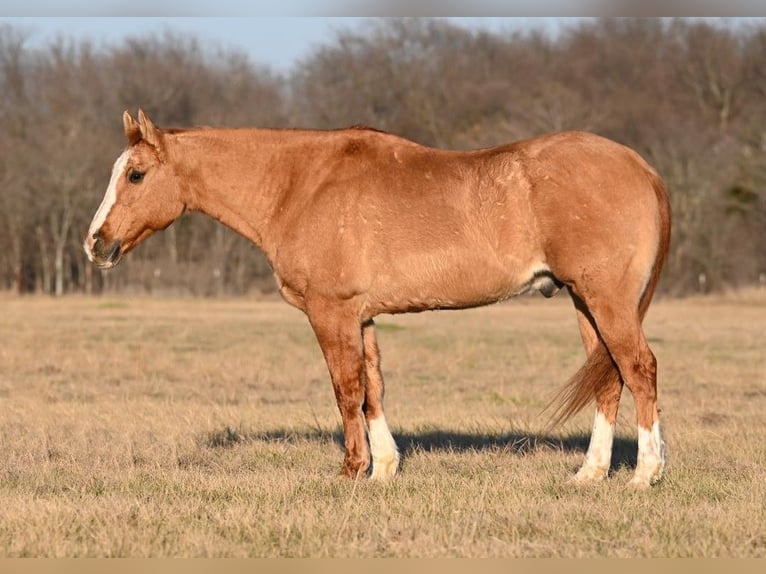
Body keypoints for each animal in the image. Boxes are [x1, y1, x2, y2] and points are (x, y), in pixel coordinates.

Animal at [85, 110, 672, 488]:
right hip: (585, 303)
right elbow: (373, 388)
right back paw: (589, 474)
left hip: (606, 300)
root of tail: (642, 167)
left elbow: (345, 390)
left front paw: (349, 471)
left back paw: (645, 474)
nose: (96, 243)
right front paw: (383, 468)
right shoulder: (361, 316)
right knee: (609, 379)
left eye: (136, 174)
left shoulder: (332, 312)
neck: (299, 184)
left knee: (639, 368)